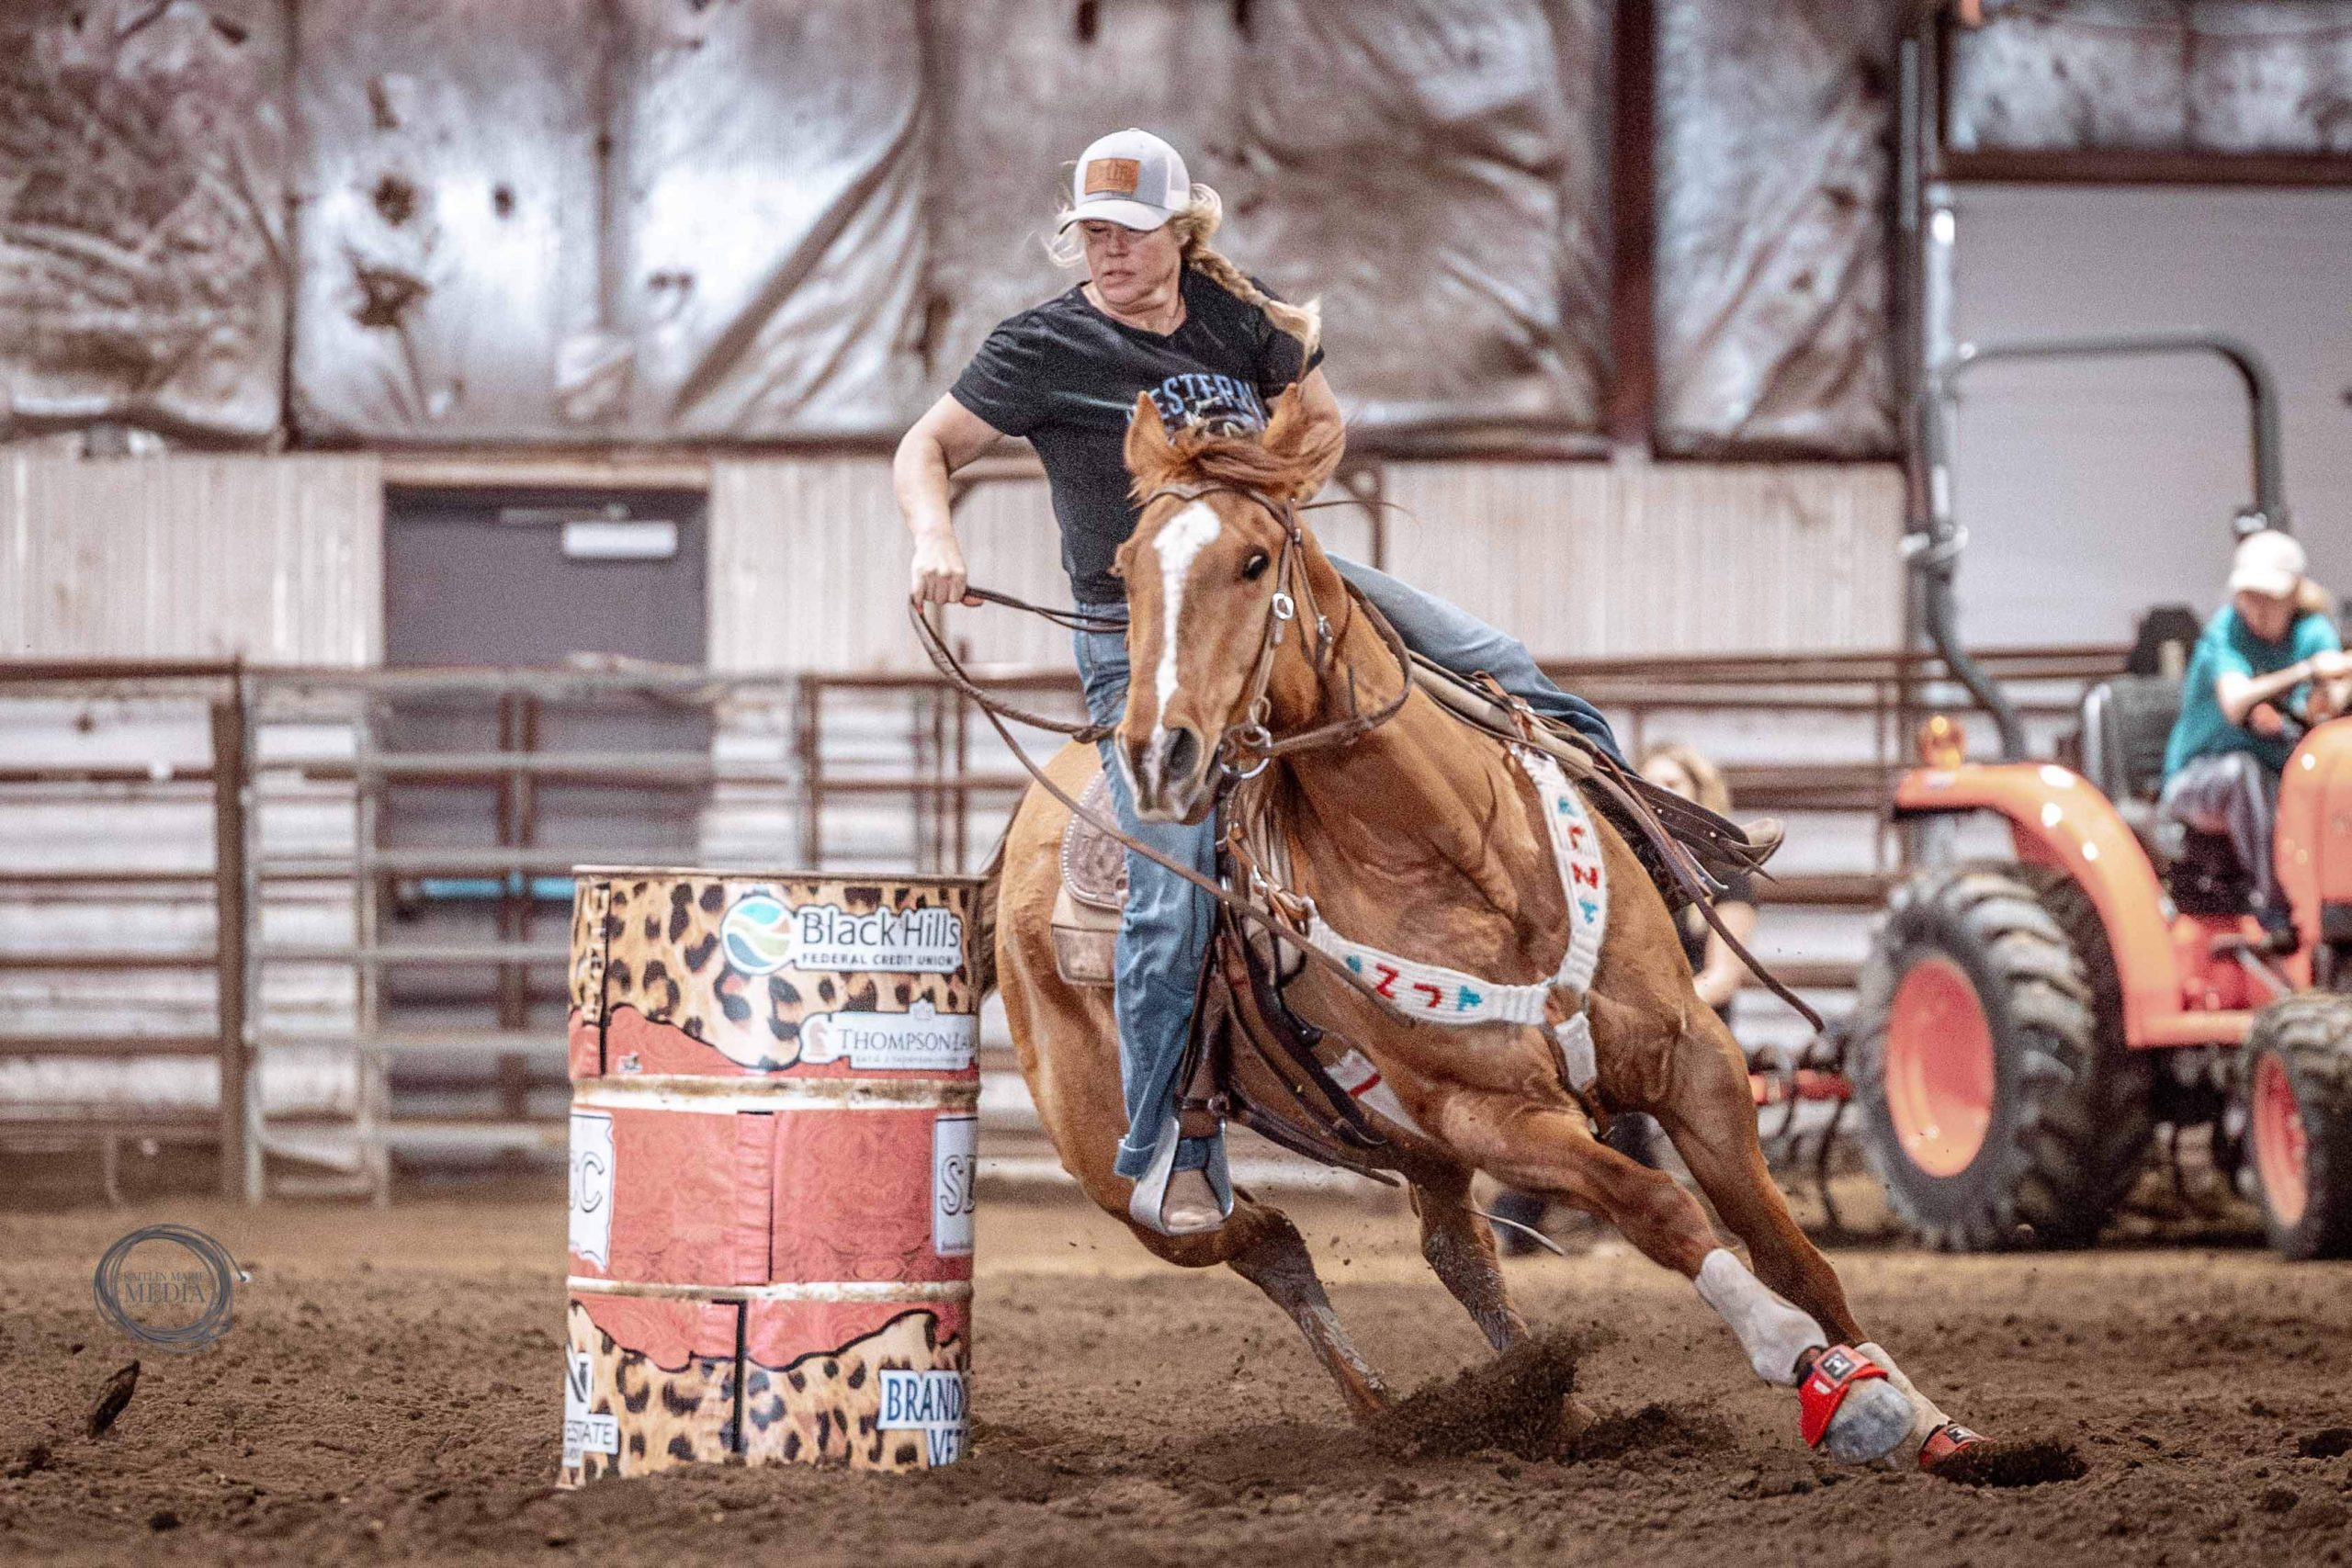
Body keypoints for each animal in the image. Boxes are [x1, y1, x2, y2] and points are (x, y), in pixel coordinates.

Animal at [979, 387, 1982, 1471]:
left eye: (1253, 560)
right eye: (1125, 572)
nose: (1161, 754)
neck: (1463, 854)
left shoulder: (1694, 1060)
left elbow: (1793, 1252)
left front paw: (1927, 1418)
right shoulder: (1493, 1114)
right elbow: (1661, 1206)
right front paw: (1819, 1375)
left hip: (1403, 1133)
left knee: (1449, 1249)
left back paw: (1530, 1400)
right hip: (1119, 1162)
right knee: (1267, 1242)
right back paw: (1393, 1413)